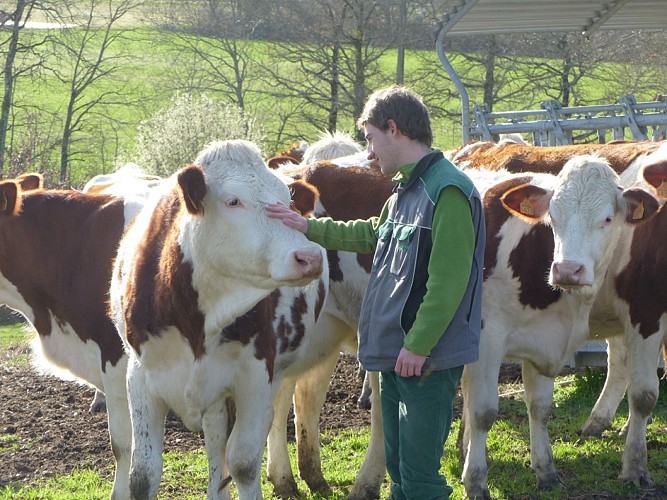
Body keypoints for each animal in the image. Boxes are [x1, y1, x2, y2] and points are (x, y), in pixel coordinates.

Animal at [109, 139, 329, 499]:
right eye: (233, 201)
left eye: (287, 201)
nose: (309, 257)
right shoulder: (140, 378)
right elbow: (142, 474)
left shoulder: (256, 374)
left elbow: (243, 462)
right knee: (215, 440)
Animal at [458, 154, 661, 499]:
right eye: (552, 217)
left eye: (608, 218)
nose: (567, 270)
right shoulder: (485, 339)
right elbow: (483, 411)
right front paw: (475, 482)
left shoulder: (545, 337)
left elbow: (540, 407)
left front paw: (547, 472)